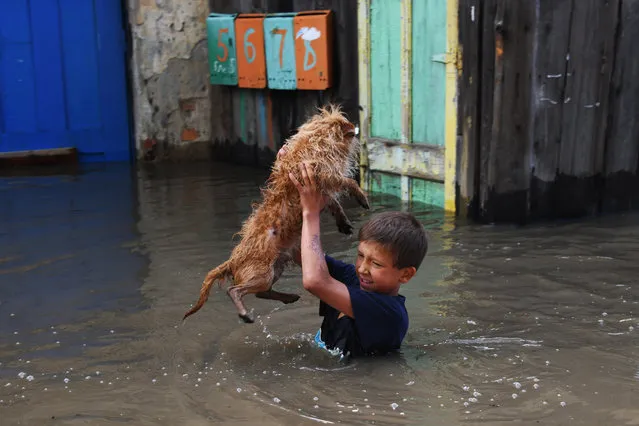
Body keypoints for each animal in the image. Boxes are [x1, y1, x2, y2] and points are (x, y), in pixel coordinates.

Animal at [182, 105, 370, 322]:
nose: (355, 128)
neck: (317, 140)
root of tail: (233, 260)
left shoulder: (322, 188)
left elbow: (335, 203)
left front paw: (344, 223)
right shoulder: (323, 174)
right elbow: (348, 182)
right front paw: (361, 196)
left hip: (276, 268)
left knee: (262, 293)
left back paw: (288, 297)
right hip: (261, 274)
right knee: (235, 290)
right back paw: (244, 312)